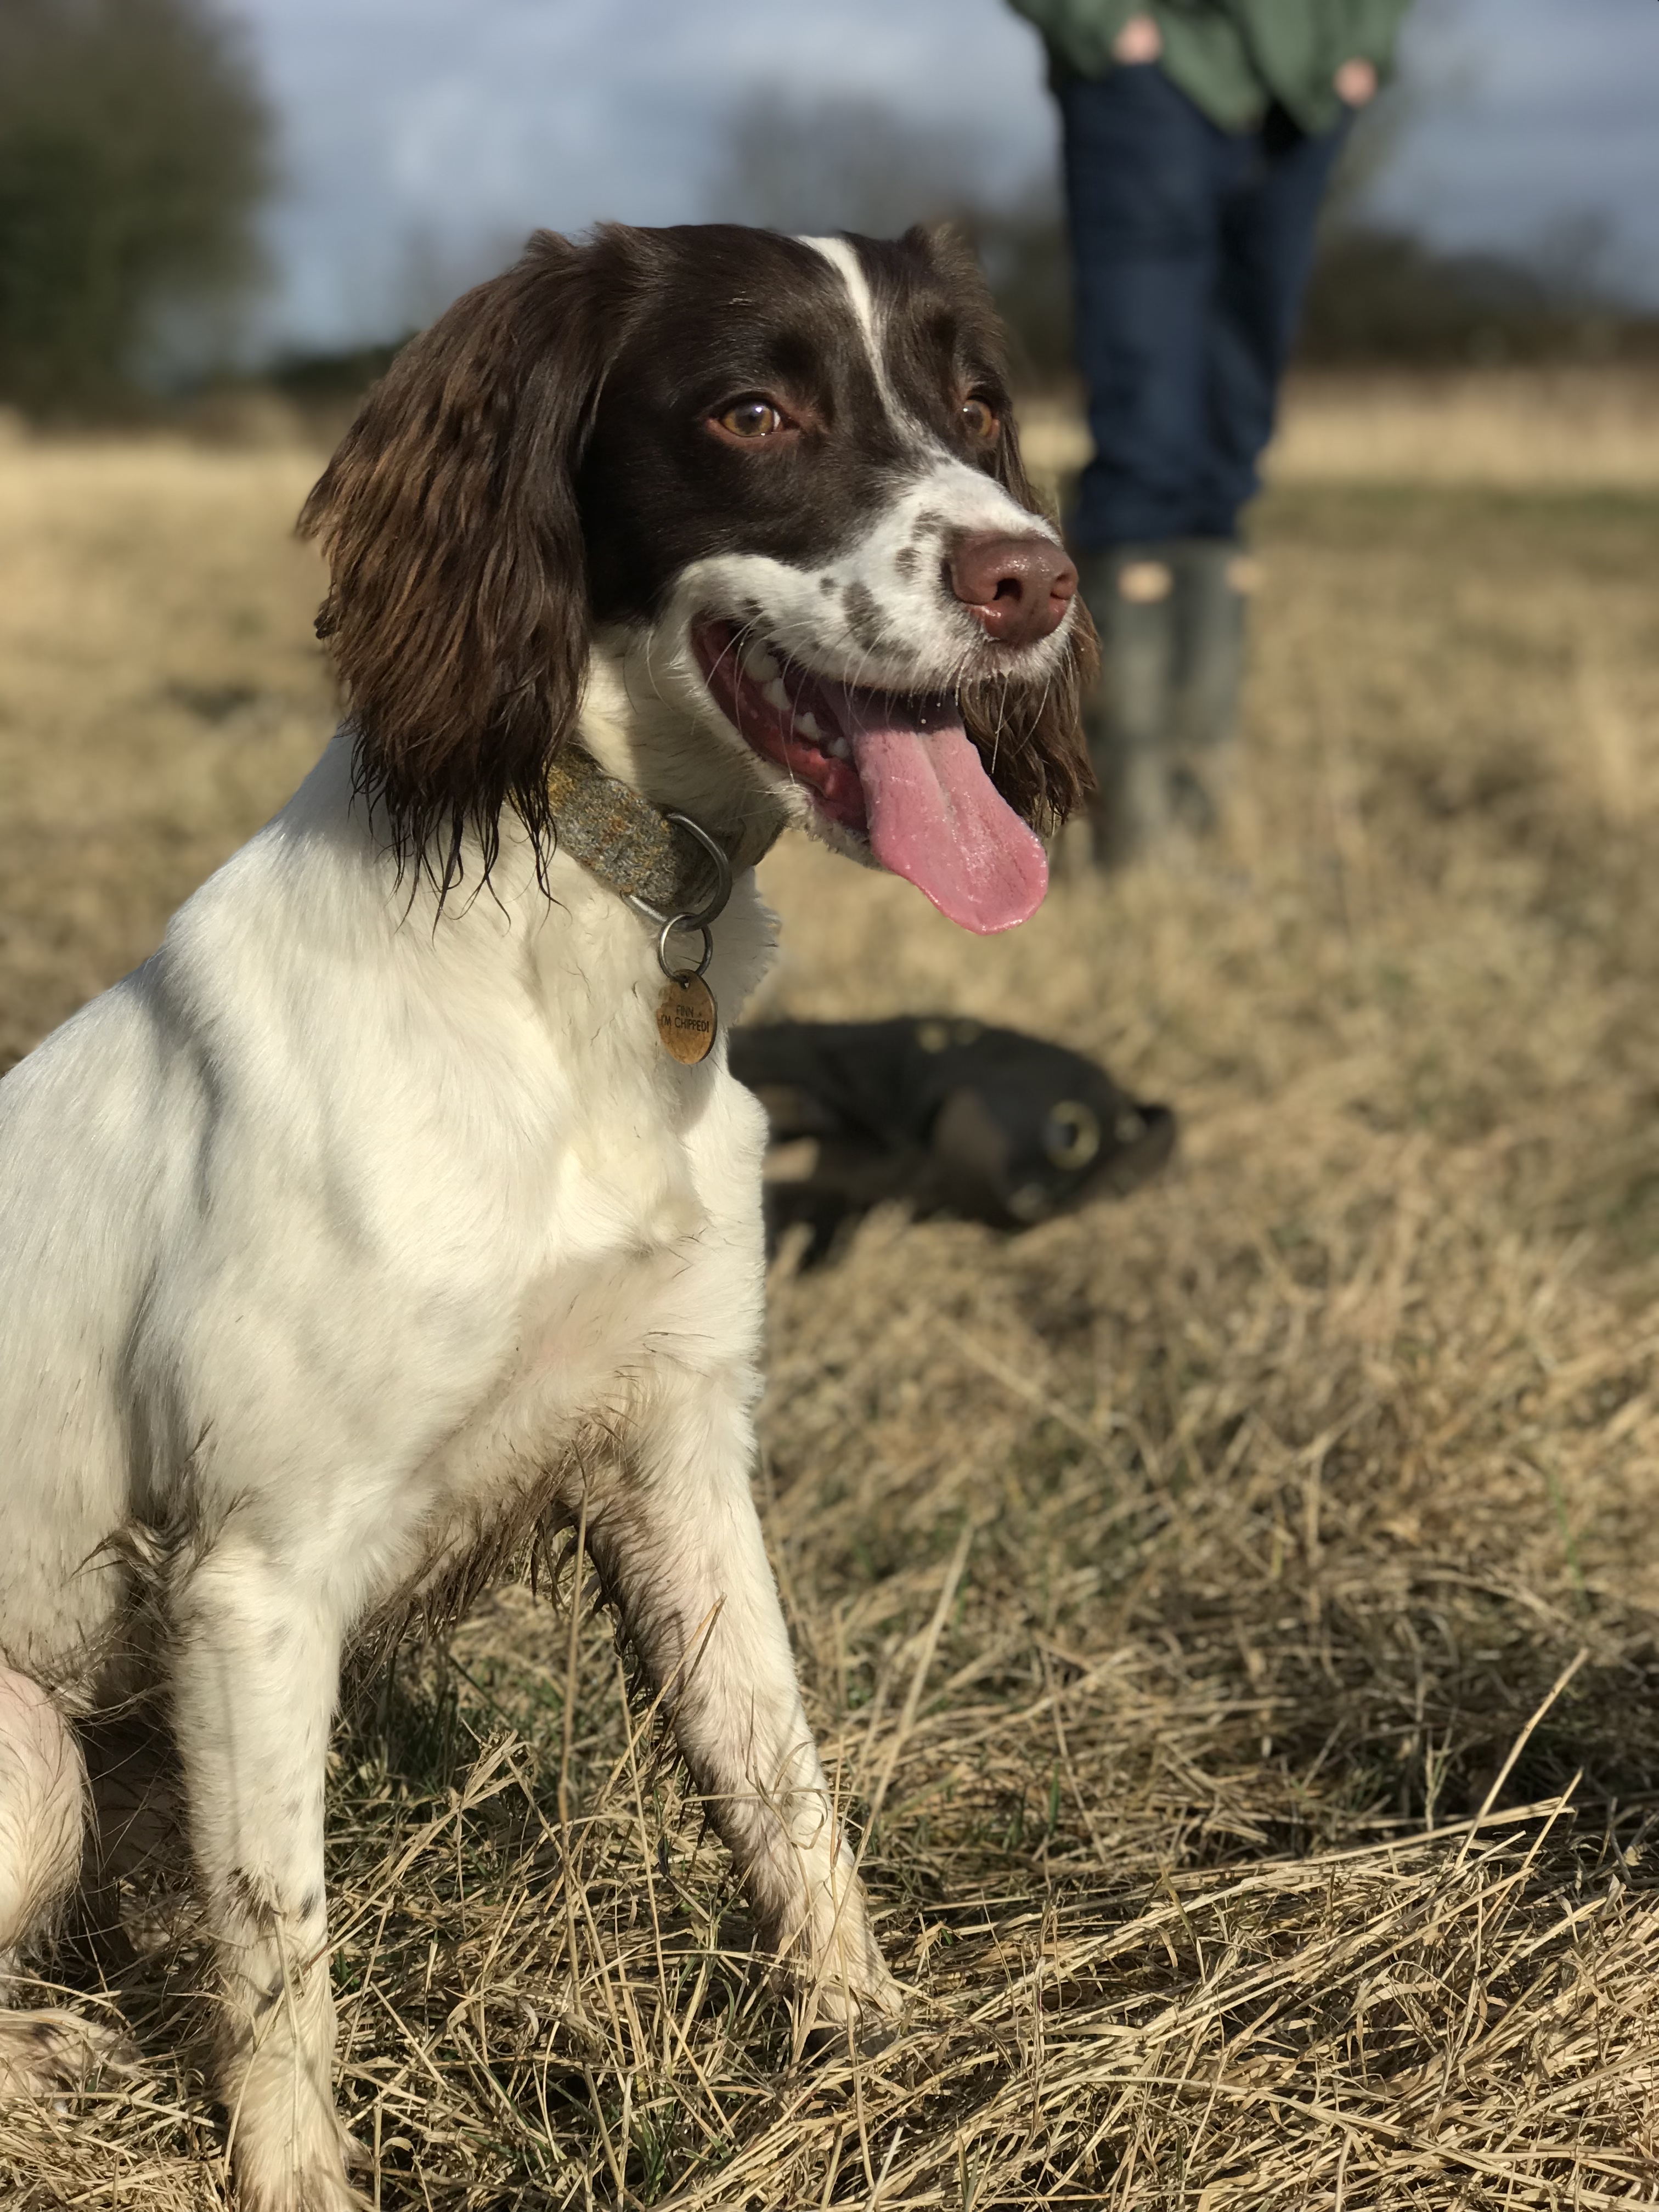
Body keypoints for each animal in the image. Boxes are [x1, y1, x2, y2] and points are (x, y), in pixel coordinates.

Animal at [0, 216, 1092, 2203]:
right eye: (753, 411)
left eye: (975, 403)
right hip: (26, 1744)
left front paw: (876, 2060)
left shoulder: (678, 1457)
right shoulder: (255, 1581)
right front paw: (299, 2180)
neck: (573, 928)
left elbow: (784, 1793)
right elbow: (282, 1957)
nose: (1032, 581)